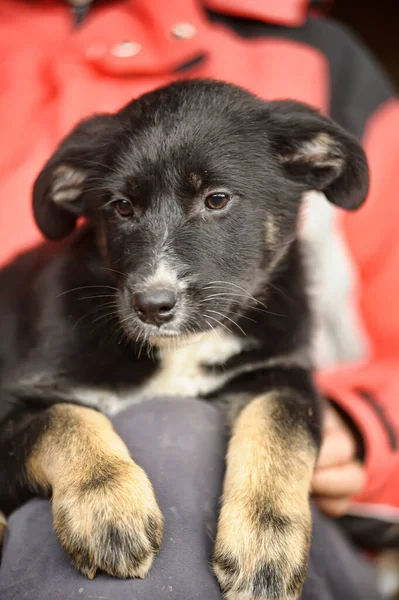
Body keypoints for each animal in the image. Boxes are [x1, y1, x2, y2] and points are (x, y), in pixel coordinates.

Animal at [0, 81, 368, 600]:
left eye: (216, 200)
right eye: (122, 207)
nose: (152, 306)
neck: (181, 350)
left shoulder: (281, 373)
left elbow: (282, 431)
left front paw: (265, 541)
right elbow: (63, 418)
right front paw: (109, 506)